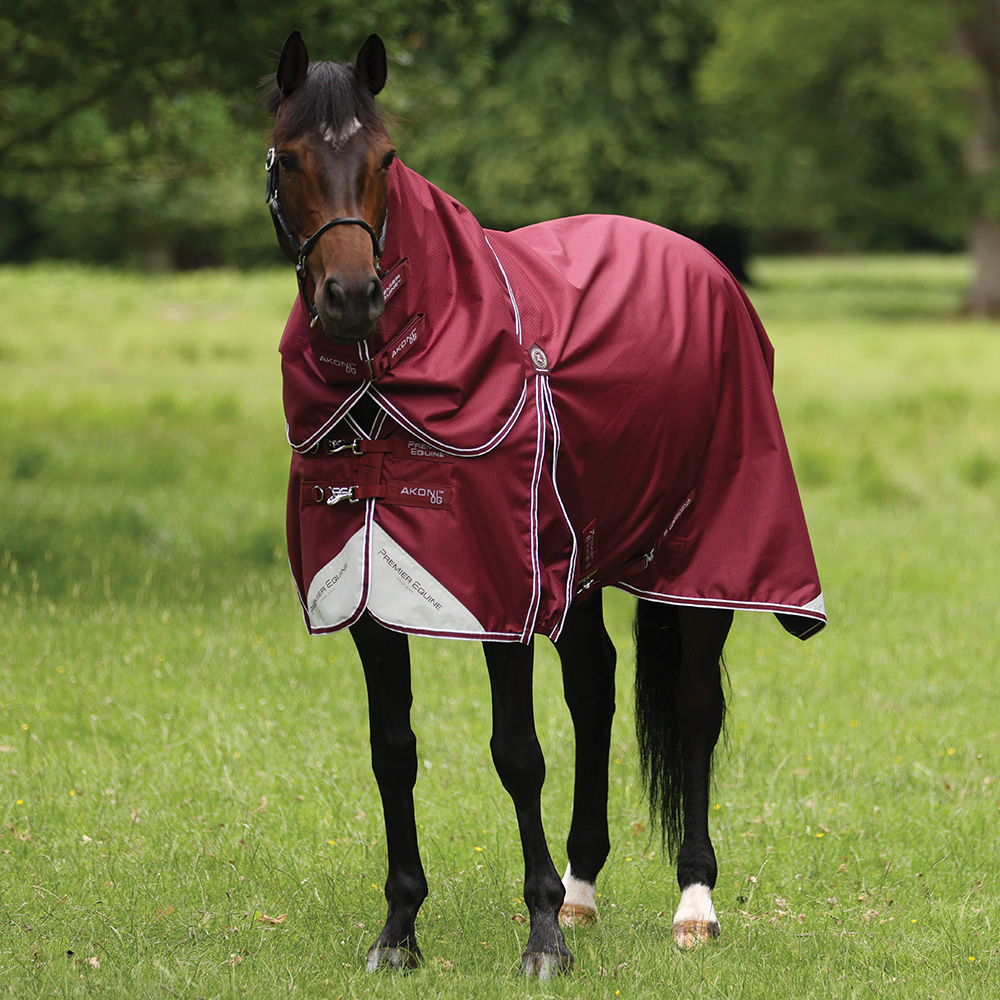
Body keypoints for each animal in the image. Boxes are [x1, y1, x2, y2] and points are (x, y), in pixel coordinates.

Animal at [263, 31, 825, 978]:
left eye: (386, 158)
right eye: (290, 155)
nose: (352, 298)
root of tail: (701, 262)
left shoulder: (501, 592)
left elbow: (517, 754)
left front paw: (541, 939)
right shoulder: (372, 596)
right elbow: (392, 753)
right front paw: (400, 930)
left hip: (706, 556)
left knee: (694, 709)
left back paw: (693, 903)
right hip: (584, 560)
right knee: (594, 687)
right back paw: (582, 886)